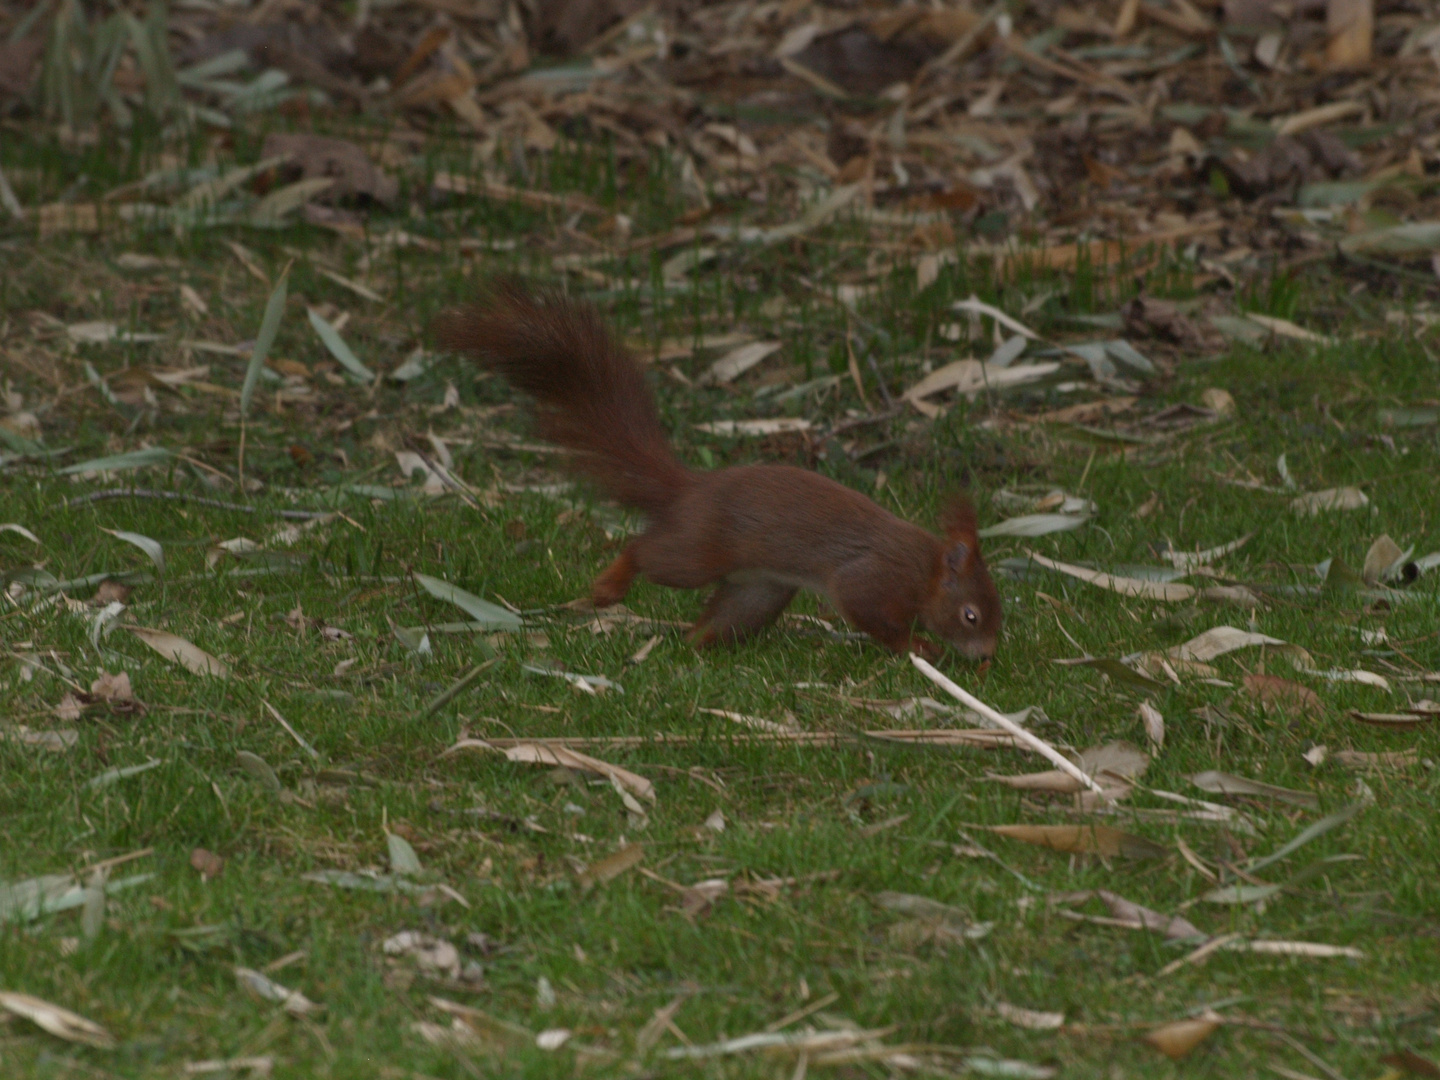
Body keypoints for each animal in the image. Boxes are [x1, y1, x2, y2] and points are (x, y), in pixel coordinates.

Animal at [437, 279, 1002, 665]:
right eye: (971, 614)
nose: (988, 655)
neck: (924, 568)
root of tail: (691, 490)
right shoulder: (870, 578)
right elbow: (867, 613)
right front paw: (919, 645)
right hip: (695, 552)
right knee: (646, 550)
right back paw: (610, 588)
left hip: (759, 590)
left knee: (718, 622)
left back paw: (691, 649)